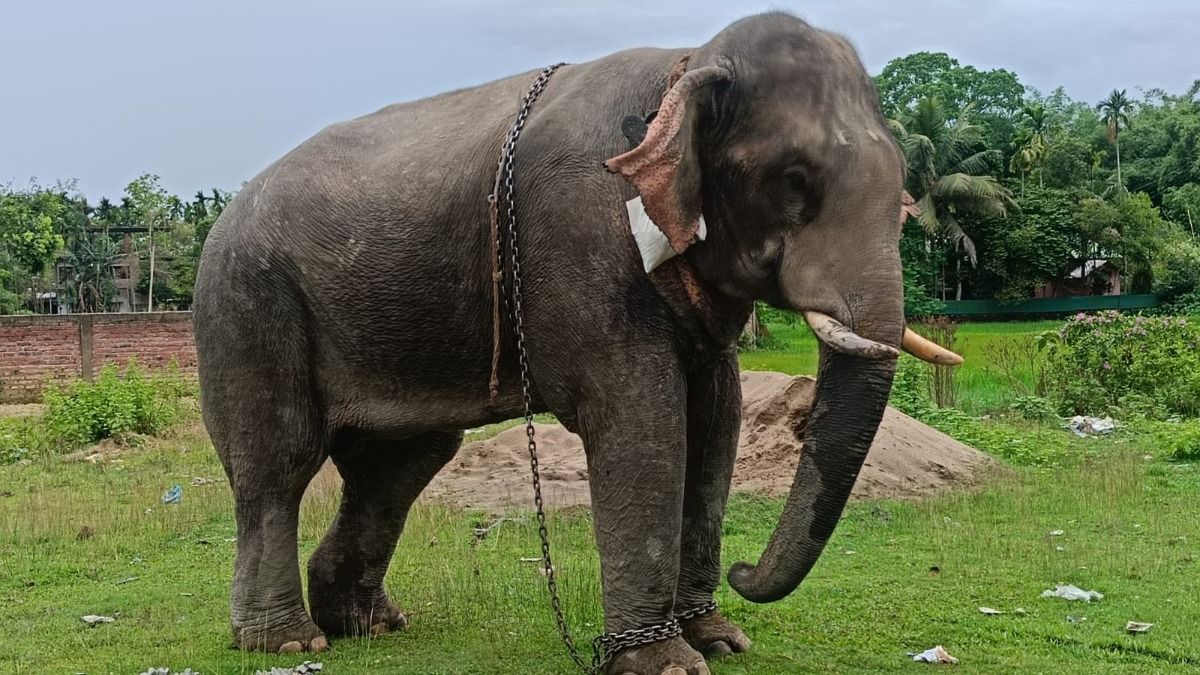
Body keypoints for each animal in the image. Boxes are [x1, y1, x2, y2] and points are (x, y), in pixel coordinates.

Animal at [192, 11, 960, 675]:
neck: (687, 65)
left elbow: (717, 420)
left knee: (400, 465)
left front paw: (721, 641)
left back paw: (370, 623)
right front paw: (666, 664)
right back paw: (288, 642)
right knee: (279, 462)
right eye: (794, 181)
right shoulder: (578, 238)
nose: (745, 574)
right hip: (247, 304)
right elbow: (643, 421)